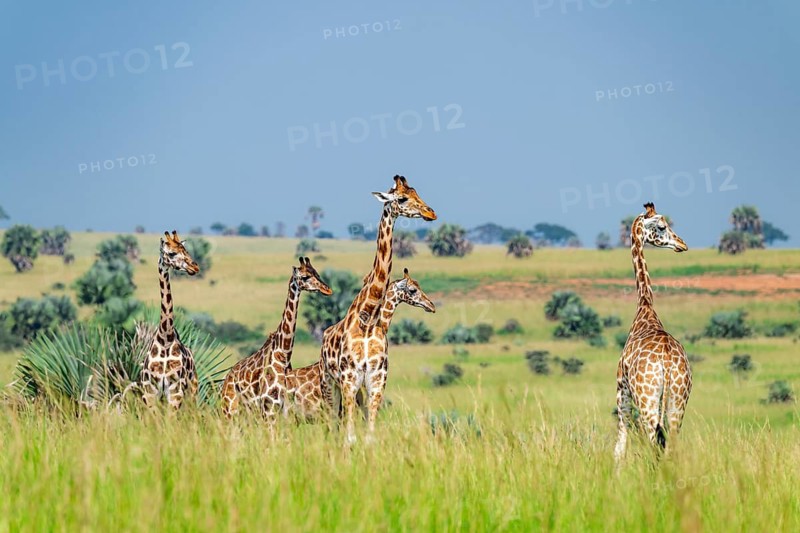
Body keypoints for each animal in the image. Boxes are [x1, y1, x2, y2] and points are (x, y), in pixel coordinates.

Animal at [140, 231, 201, 410]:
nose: (195, 267)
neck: (165, 337)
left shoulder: (175, 390)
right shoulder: (150, 390)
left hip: (192, 393)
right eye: (172, 253)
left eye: (185, 250)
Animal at [220, 257, 332, 426]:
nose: (328, 290)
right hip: (230, 408)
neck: (282, 354)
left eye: (317, 273)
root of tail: (226, 380)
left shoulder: (284, 406)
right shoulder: (269, 405)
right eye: (305, 277)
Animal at [319, 175, 436, 443]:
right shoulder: (349, 380)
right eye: (401, 198)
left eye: (417, 193)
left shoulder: (376, 381)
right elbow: (350, 437)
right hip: (330, 384)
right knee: (333, 424)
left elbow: (369, 436)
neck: (369, 318)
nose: (431, 212)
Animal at [614, 202, 691, 461]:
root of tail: (666, 362)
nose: (682, 244)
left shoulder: (622, 391)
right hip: (678, 401)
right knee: (671, 445)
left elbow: (620, 447)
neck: (645, 305)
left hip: (647, 401)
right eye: (662, 226)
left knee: (654, 445)